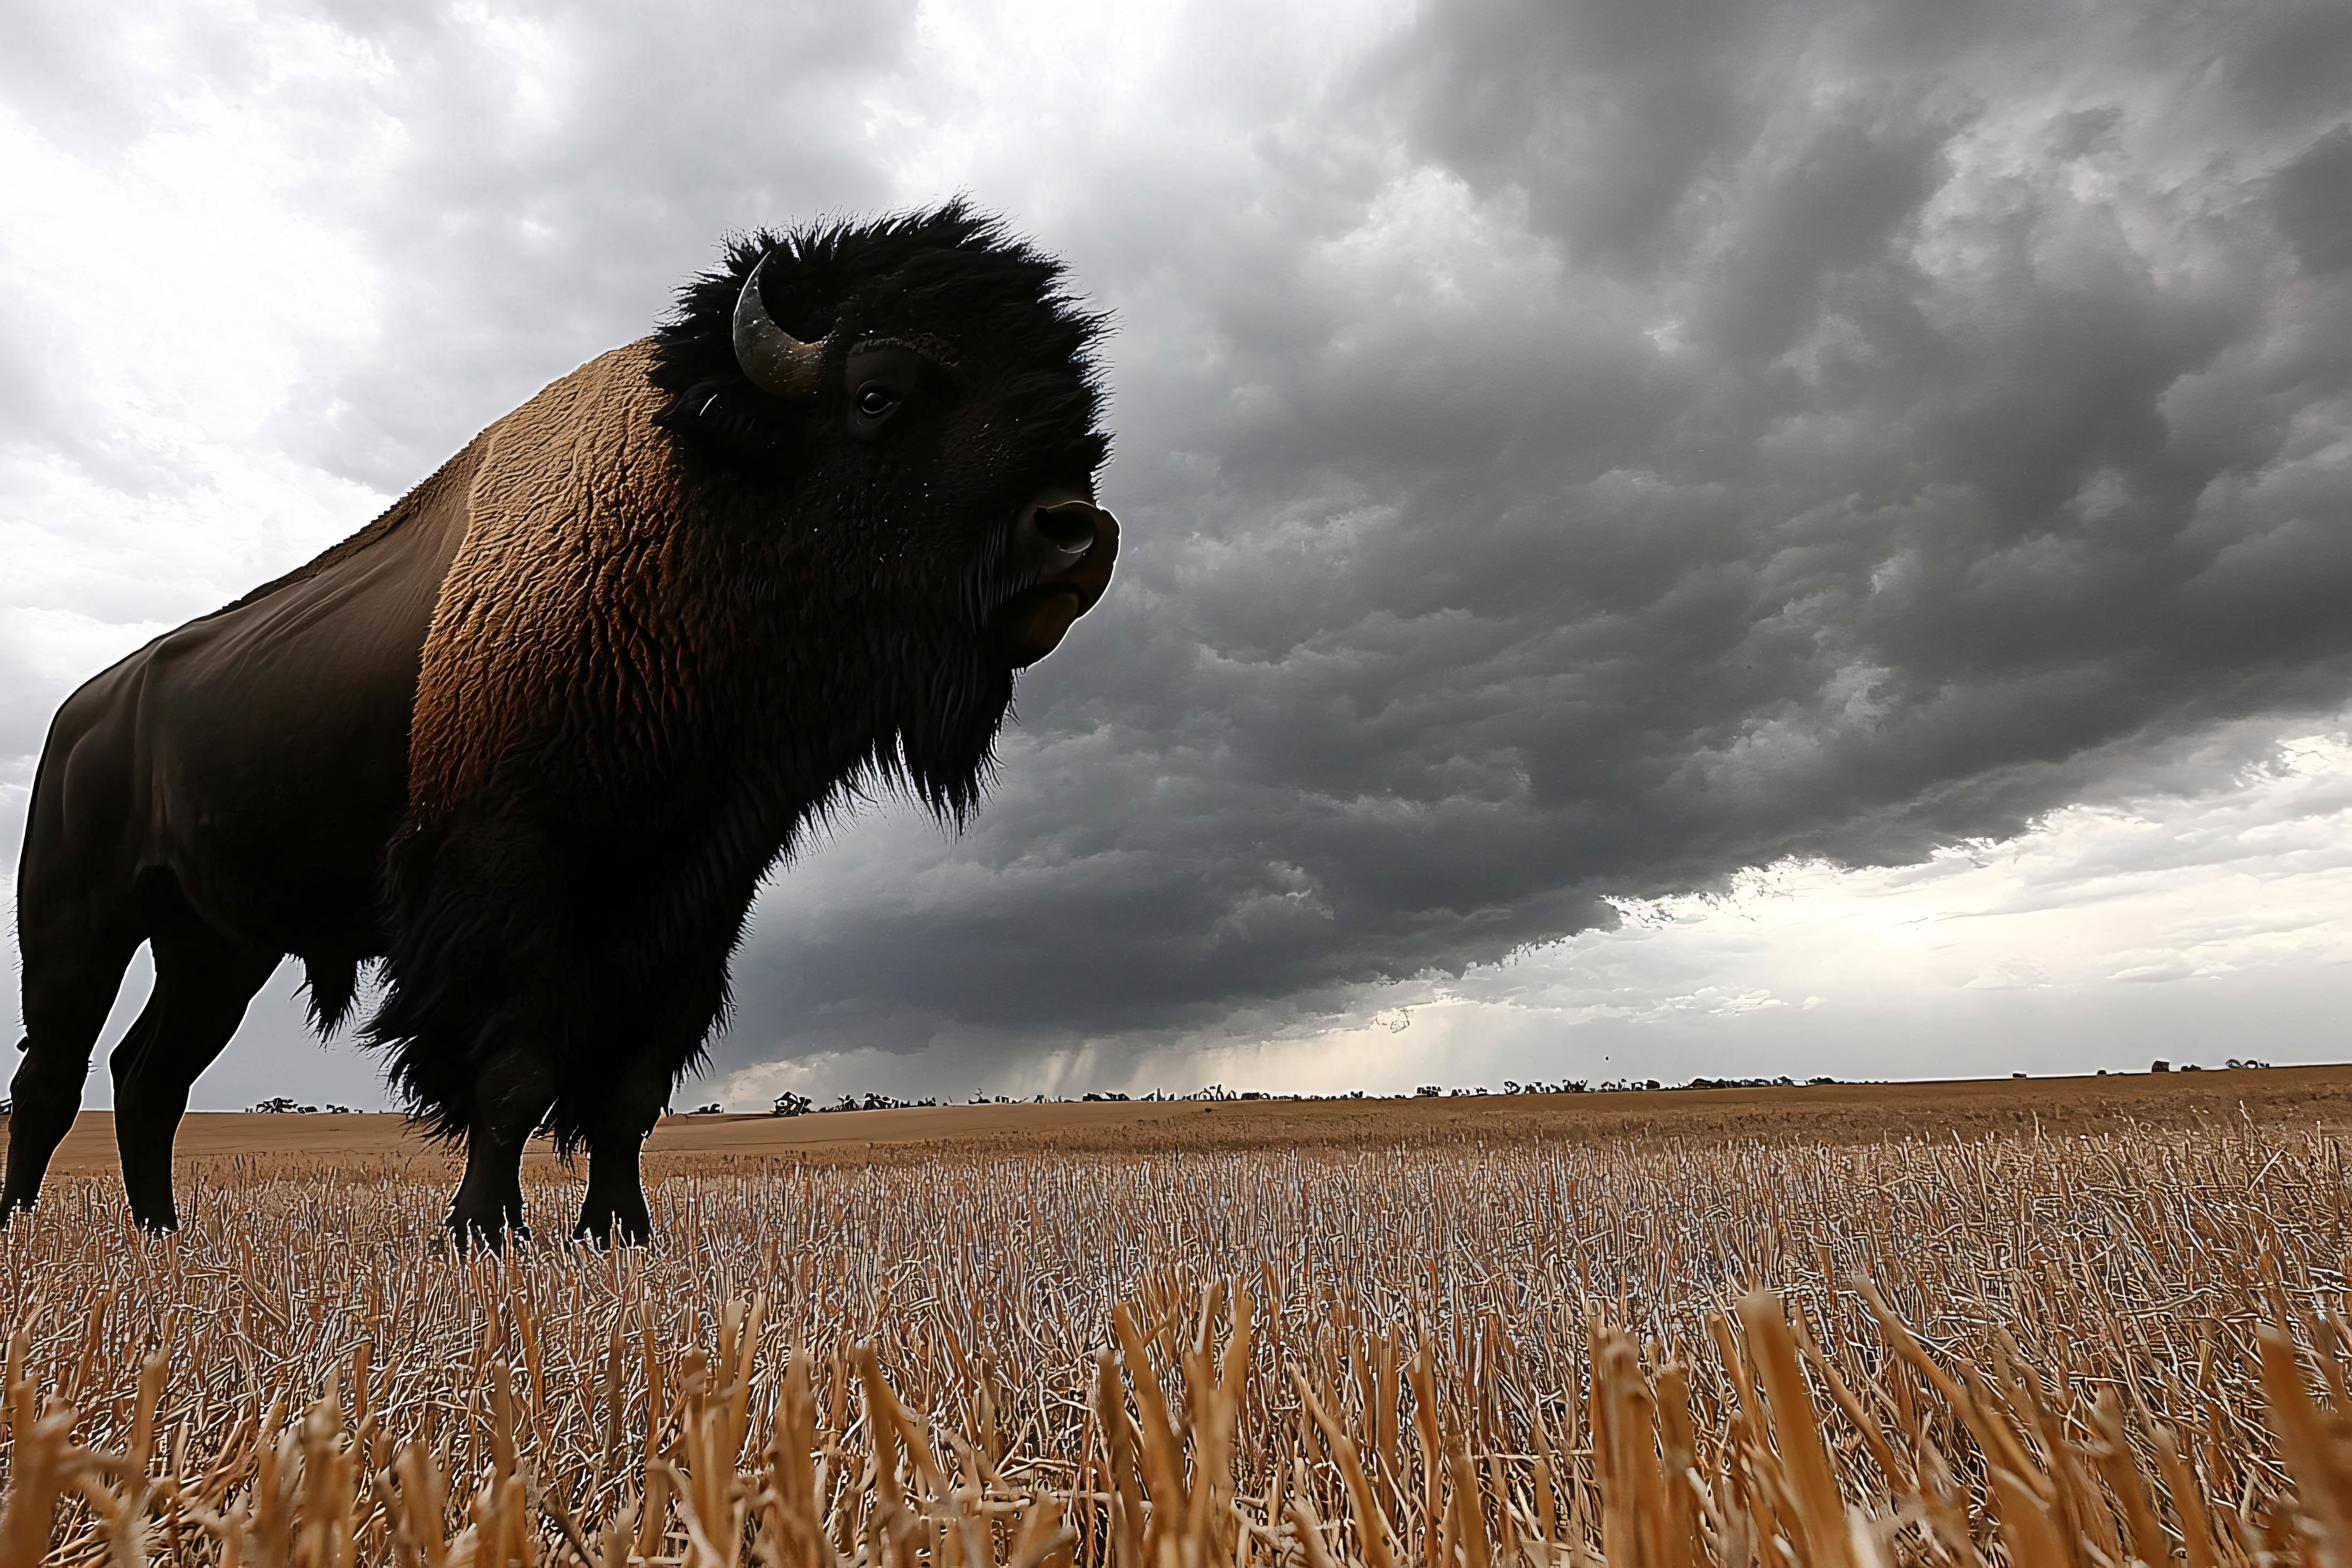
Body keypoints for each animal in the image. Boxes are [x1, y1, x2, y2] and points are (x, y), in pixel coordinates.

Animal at [2, 204, 1117, 1244]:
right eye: (878, 392)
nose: (1078, 533)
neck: (693, 506)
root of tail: (85, 708)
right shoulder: (509, 882)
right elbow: (514, 1072)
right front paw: (481, 1228)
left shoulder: (692, 901)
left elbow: (629, 1089)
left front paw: (620, 1229)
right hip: (80, 917)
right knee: (54, 1074)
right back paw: (26, 1224)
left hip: (217, 945)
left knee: (150, 1073)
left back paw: (161, 1232)